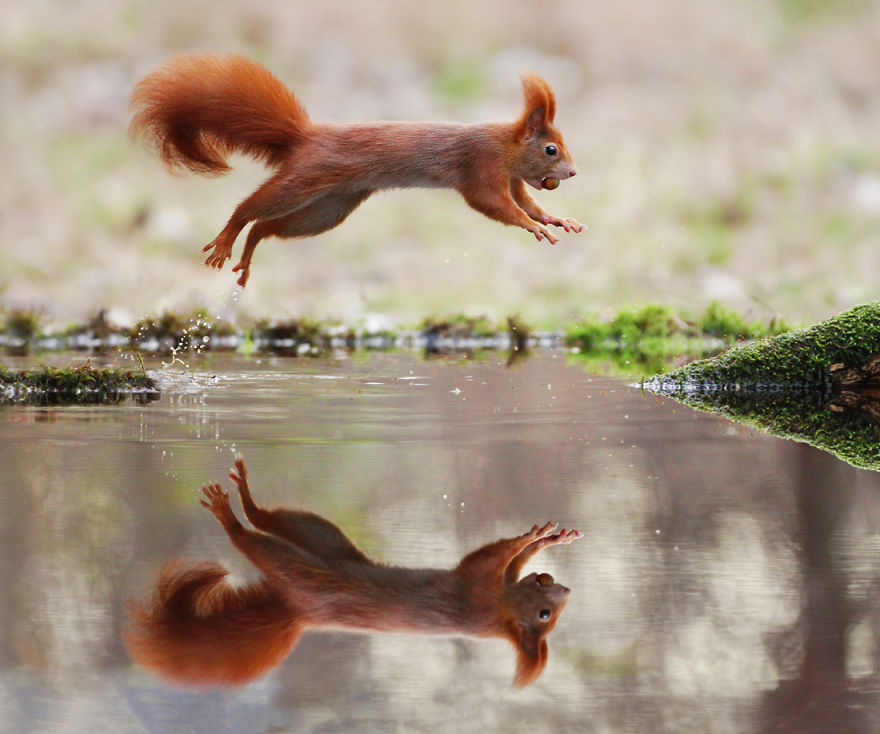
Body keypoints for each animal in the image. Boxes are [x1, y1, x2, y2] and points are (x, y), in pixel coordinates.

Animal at [124, 457, 581, 688]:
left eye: (545, 617)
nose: (566, 591)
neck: (500, 611)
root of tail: (298, 611)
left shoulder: (476, 585)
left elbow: (492, 555)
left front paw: (533, 538)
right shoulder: (487, 582)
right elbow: (511, 558)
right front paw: (545, 539)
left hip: (300, 570)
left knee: (252, 538)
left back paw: (230, 515)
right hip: (322, 536)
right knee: (272, 518)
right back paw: (246, 496)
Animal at [129, 53, 583, 286]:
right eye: (551, 149)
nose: (574, 173)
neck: (506, 147)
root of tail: (305, 136)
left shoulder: (513, 179)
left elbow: (526, 201)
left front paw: (555, 220)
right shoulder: (481, 168)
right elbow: (496, 205)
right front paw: (532, 226)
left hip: (328, 208)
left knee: (266, 226)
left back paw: (248, 256)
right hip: (304, 180)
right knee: (251, 208)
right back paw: (226, 241)